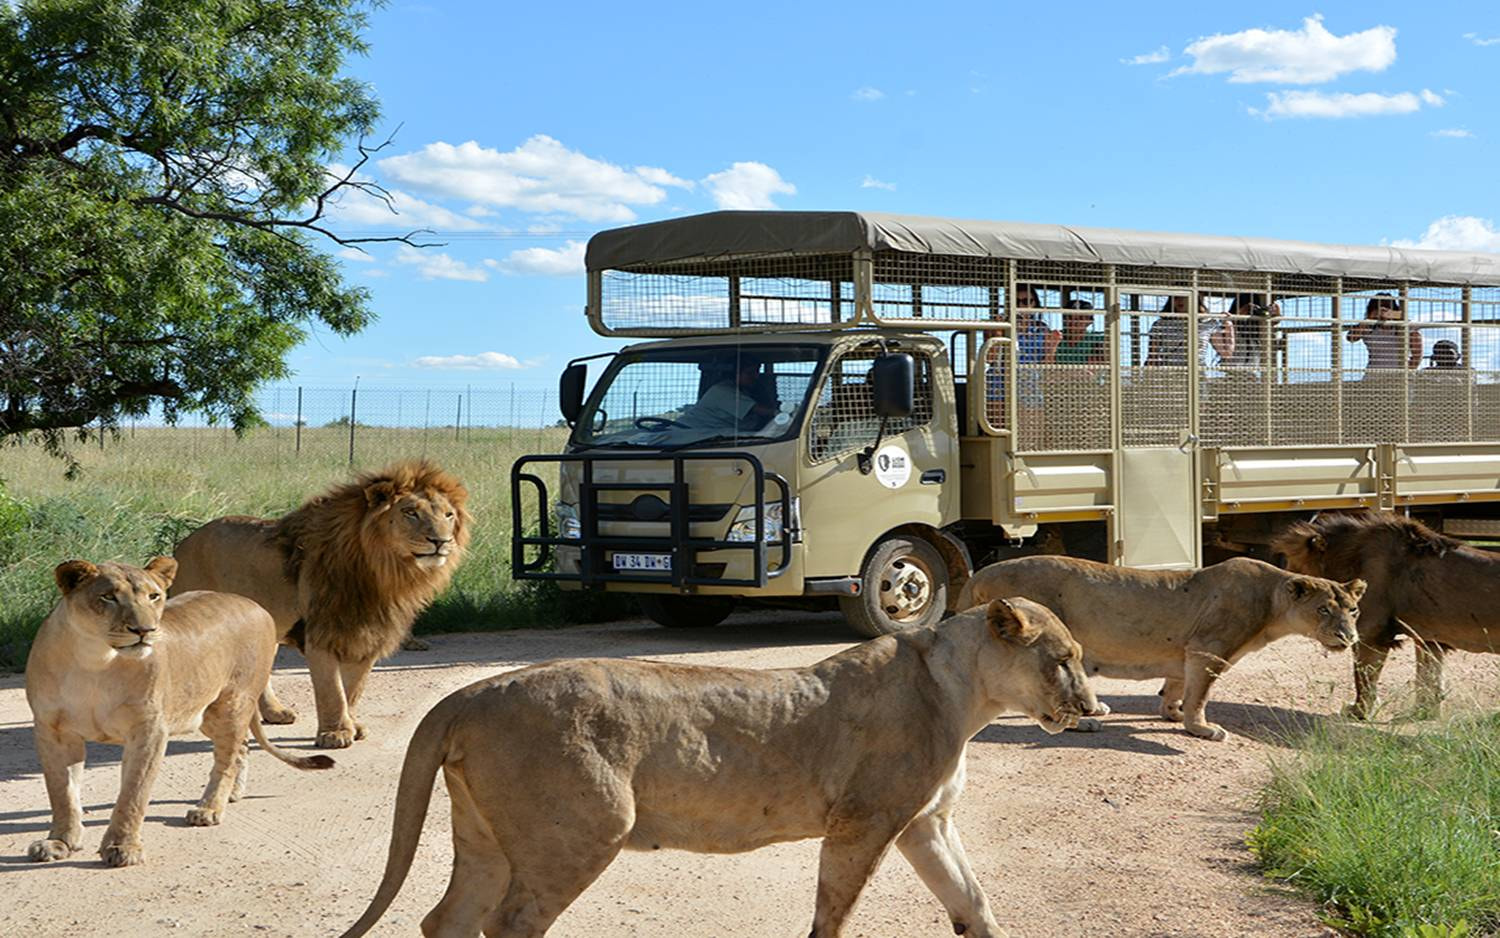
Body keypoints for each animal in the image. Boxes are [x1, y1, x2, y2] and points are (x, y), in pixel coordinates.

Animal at [168, 459, 468, 747]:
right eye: (410, 513)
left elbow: (353, 688)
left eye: (448, 515)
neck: (385, 573)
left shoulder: (369, 634)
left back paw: (274, 712)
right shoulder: (321, 633)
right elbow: (332, 690)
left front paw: (352, 726)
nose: (441, 541)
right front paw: (335, 734)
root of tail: (183, 543)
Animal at [340, 597, 1098, 930]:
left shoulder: (924, 823)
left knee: (446, 920)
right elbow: (833, 915)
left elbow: (972, 902)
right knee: (506, 925)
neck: (965, 694)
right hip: (583, 832)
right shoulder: (864, 822)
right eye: (1063, 659)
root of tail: (468, 693)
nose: (1093, 707)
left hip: (486, 838)